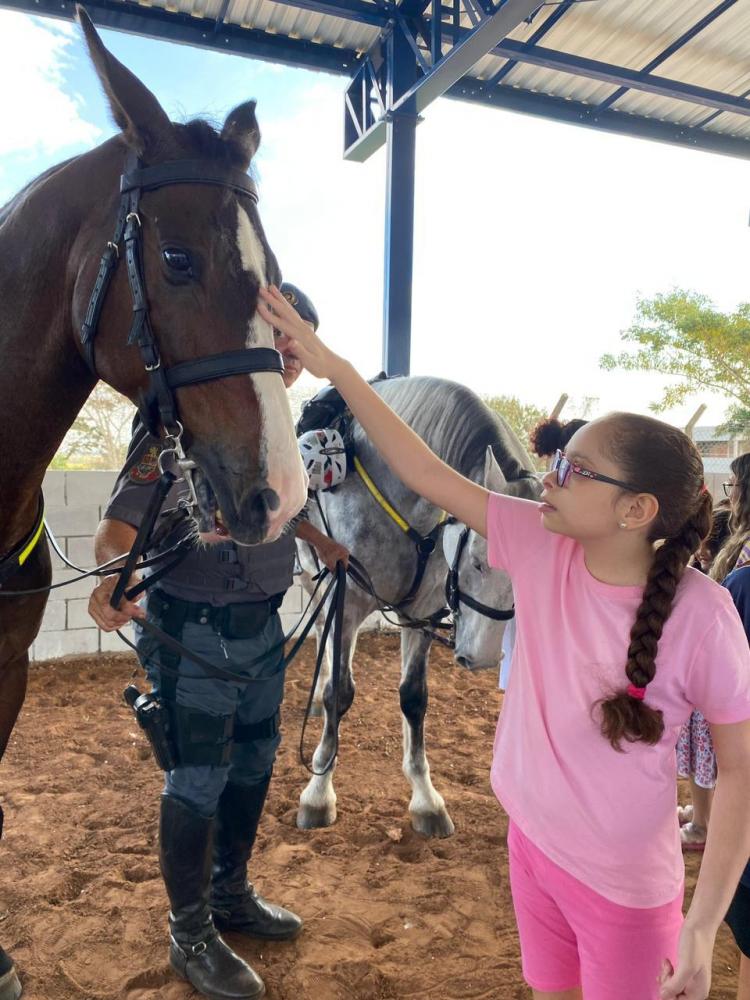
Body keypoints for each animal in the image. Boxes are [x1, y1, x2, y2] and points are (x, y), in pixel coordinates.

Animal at [296, 378, 544, 840]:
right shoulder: (348, 600)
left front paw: (426, 801)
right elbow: (341, 692)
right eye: (479, 561)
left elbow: (414, 698)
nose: (483, 658)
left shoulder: (423, 612)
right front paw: (318, 792)